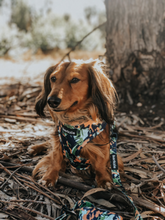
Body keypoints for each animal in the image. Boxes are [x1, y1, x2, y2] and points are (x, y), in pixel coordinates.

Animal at [29, 59, 123, 188]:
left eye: (74, 80)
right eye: (53, 78)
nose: (52, 101)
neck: (75, 121)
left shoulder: (105, 146)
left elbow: (100, 163)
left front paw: (103, 178)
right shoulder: (58, 140)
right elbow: (55, 158)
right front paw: (49, 176)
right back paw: (34, 148)